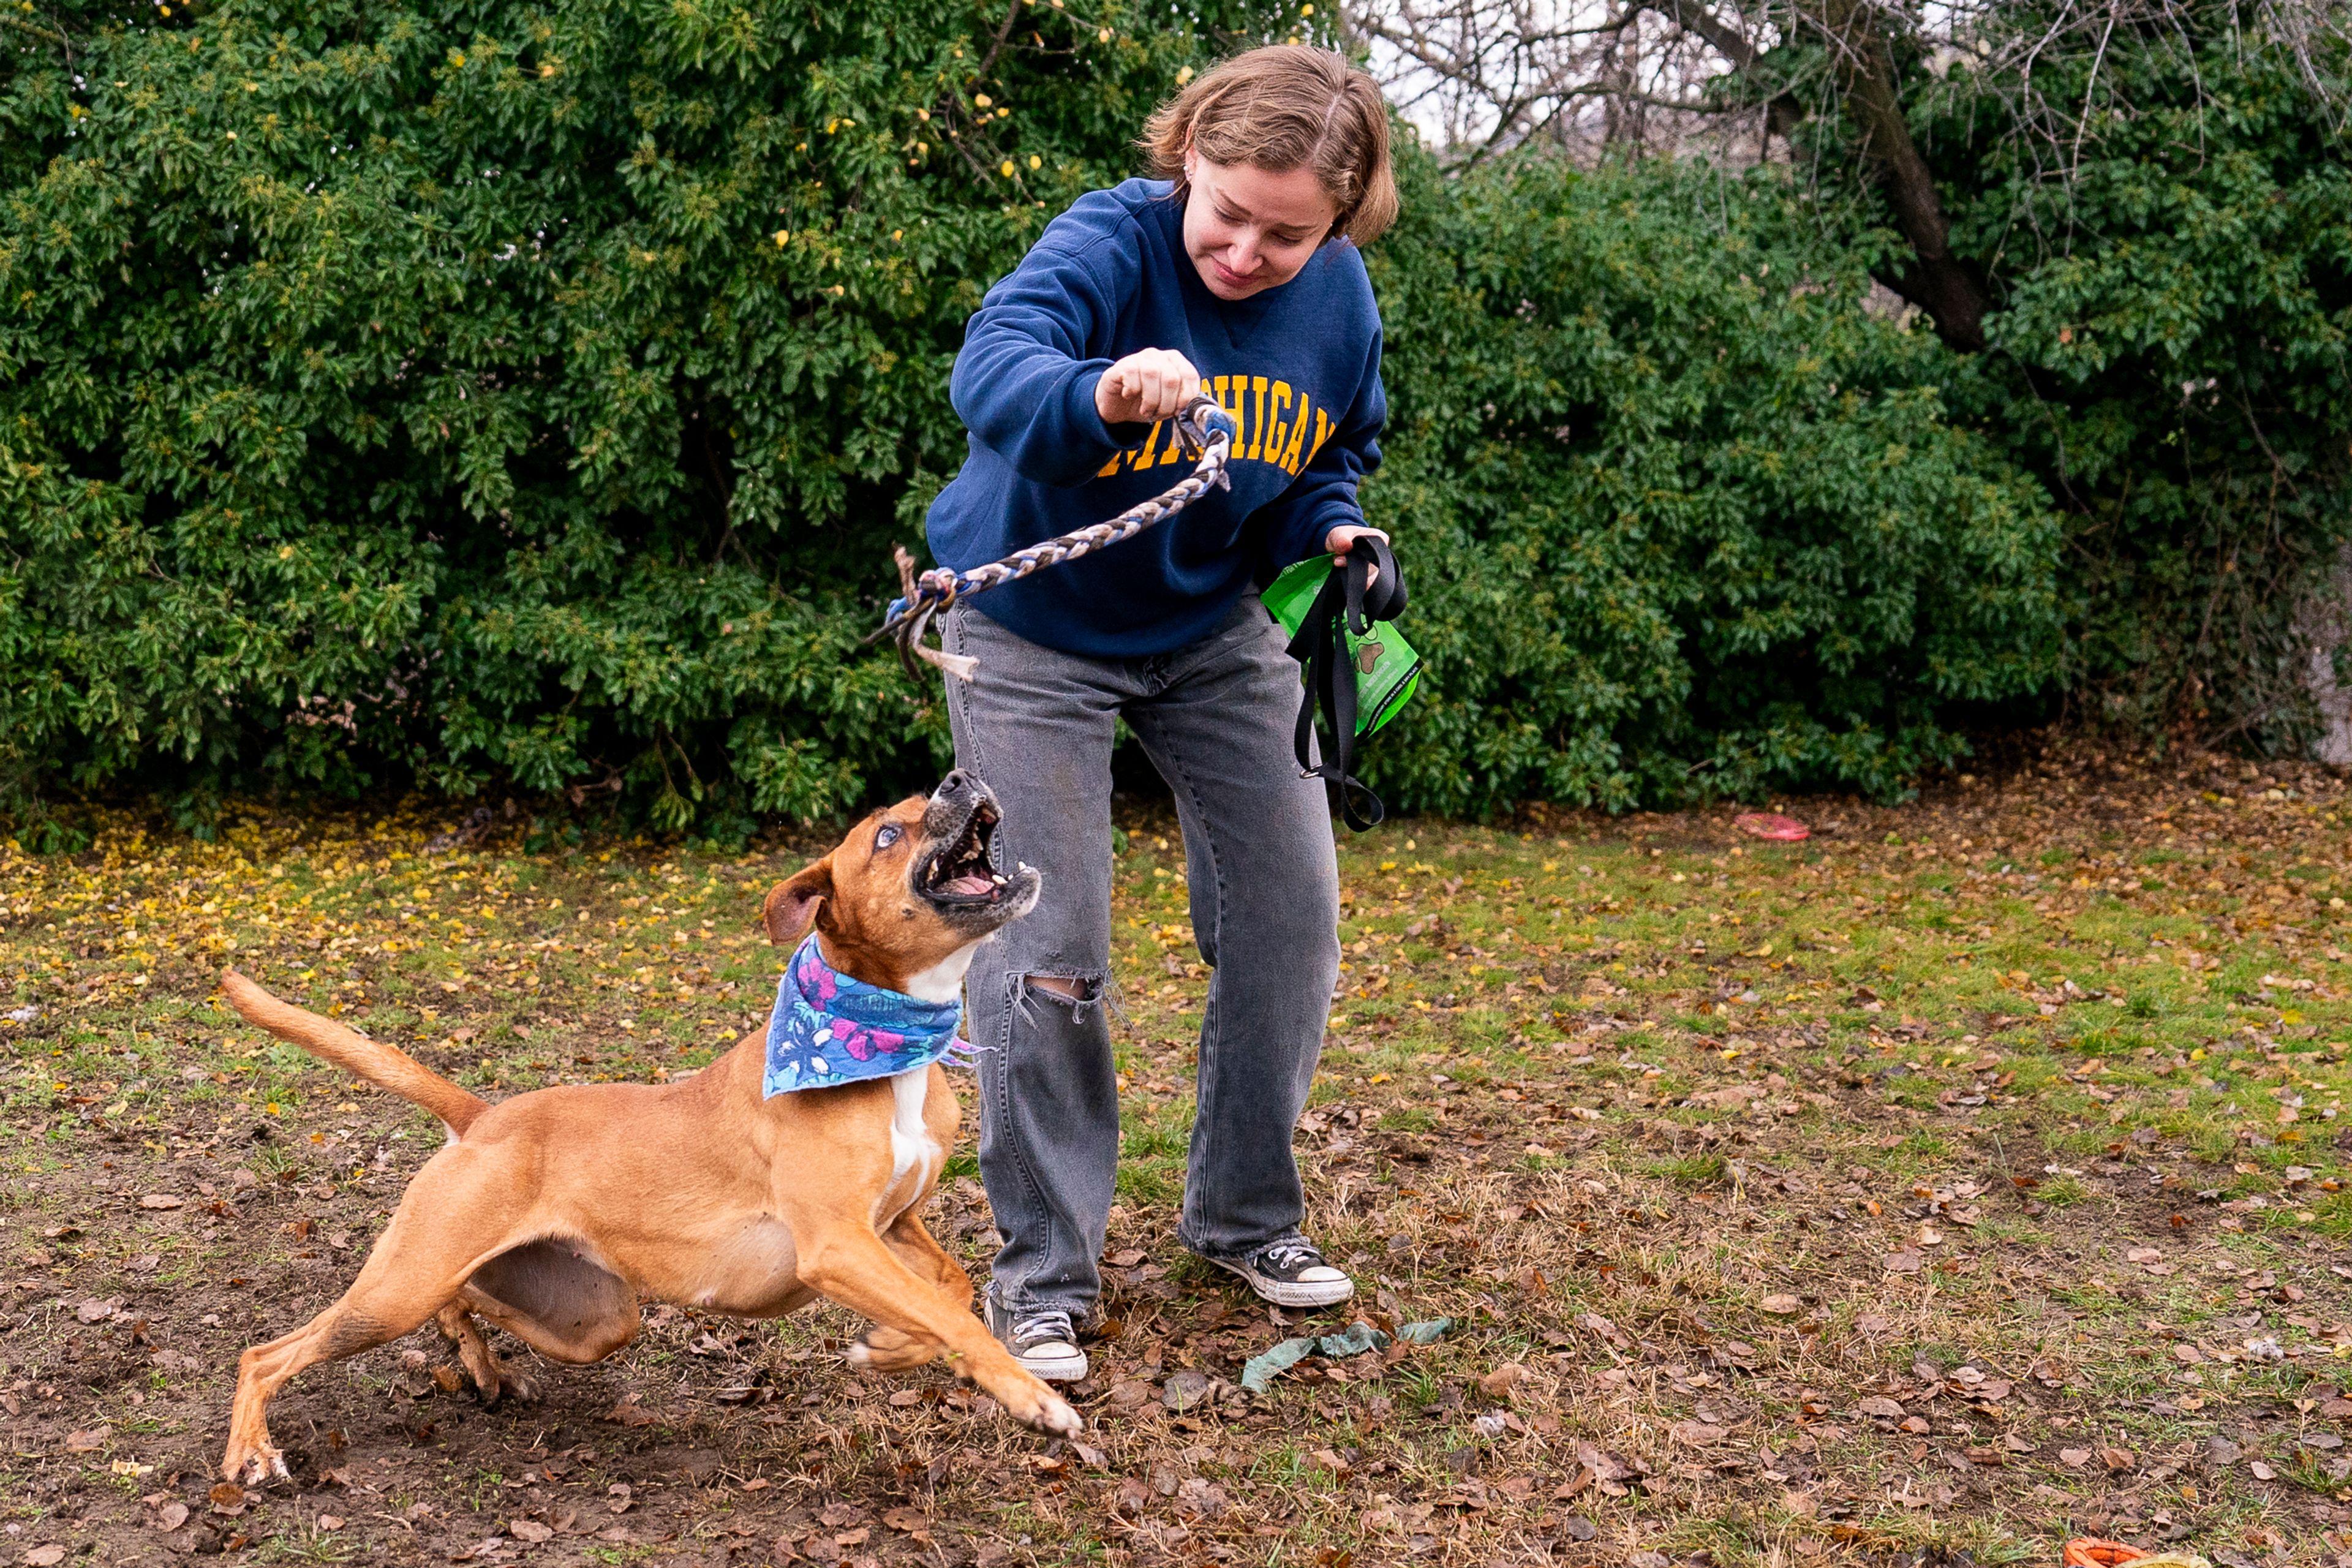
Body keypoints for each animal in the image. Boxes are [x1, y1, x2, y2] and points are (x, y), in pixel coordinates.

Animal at [211, 771, 1077, 1485]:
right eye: (888, 834)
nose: (959, 776)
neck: (883, 1042)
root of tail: (483, 1118)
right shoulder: (837, 1243)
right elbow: (947, 1311)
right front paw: (1031, 1397)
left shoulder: (892, 1226)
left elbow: (950, 1292)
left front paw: (892, 1348)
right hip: (400, 1291)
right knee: (267, 1352)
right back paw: (250, 1450)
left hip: (590, 1318)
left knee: (464, 1301)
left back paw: (482, 1365)